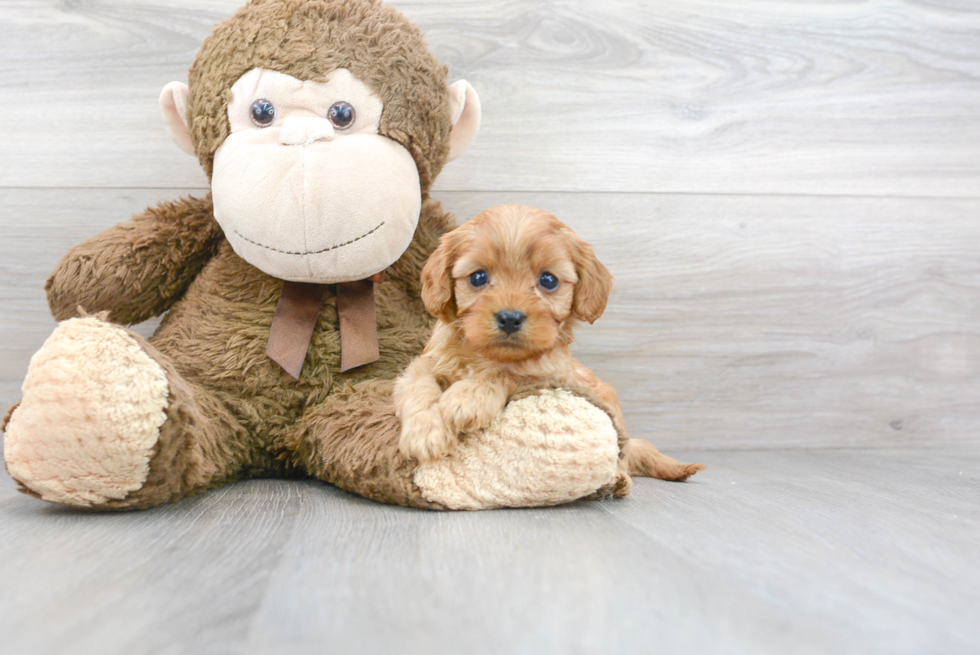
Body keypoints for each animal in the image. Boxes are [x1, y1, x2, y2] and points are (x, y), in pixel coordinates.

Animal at [392, 205, 704, 486]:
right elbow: (420, 384)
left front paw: (469, 396)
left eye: (548, 280)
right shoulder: (425, 363)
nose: (510, 318)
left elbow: (508, 373)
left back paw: (617, 476)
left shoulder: (550, 376)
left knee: (624, 455)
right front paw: (426, 433)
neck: (487, 356)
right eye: (478, 277)